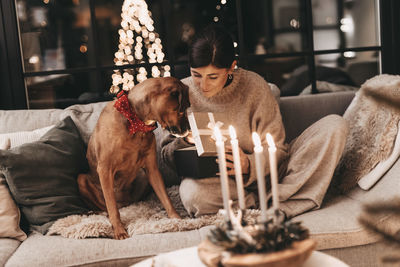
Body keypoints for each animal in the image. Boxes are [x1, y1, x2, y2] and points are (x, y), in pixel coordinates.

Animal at [78, 76, 191, 240]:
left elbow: (165, 198)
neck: (135, 121)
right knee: (106, 206)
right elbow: (112, 208)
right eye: (181, 110)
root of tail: (124, 203)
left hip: (143, 176)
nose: (188, 131)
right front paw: (119, 230)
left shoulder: (152, 169)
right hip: (81, 179)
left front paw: (177, 219)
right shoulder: (105, 170)